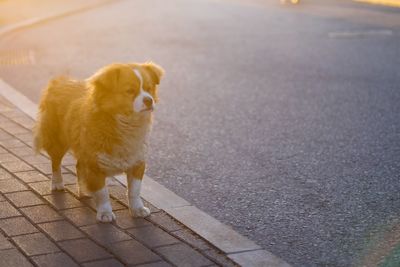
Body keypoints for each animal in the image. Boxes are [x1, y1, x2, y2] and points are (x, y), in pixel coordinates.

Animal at [34, 62, 164, 222]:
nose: (149, 100)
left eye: (149, 88)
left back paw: (84, 191)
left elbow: (134, 190)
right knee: (56, 163)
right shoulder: (94, 165)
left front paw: (137, 209)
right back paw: (57, 183)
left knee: (79, 166)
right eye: (129, 91)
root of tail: (59, 81)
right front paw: (105, 213)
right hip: (58, 142)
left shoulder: (137, 162)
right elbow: (103, 193)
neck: (126, 123)